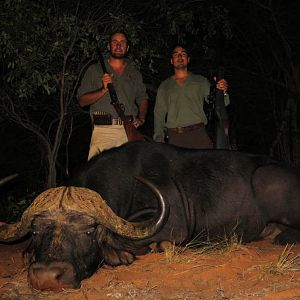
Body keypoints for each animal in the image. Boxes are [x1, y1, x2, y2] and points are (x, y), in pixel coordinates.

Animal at [0, 141, 300, 290]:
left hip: (265, 178)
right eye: (36, 231)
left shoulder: (171, 226)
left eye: (88, 231)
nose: (46, 277)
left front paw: (124, 254)